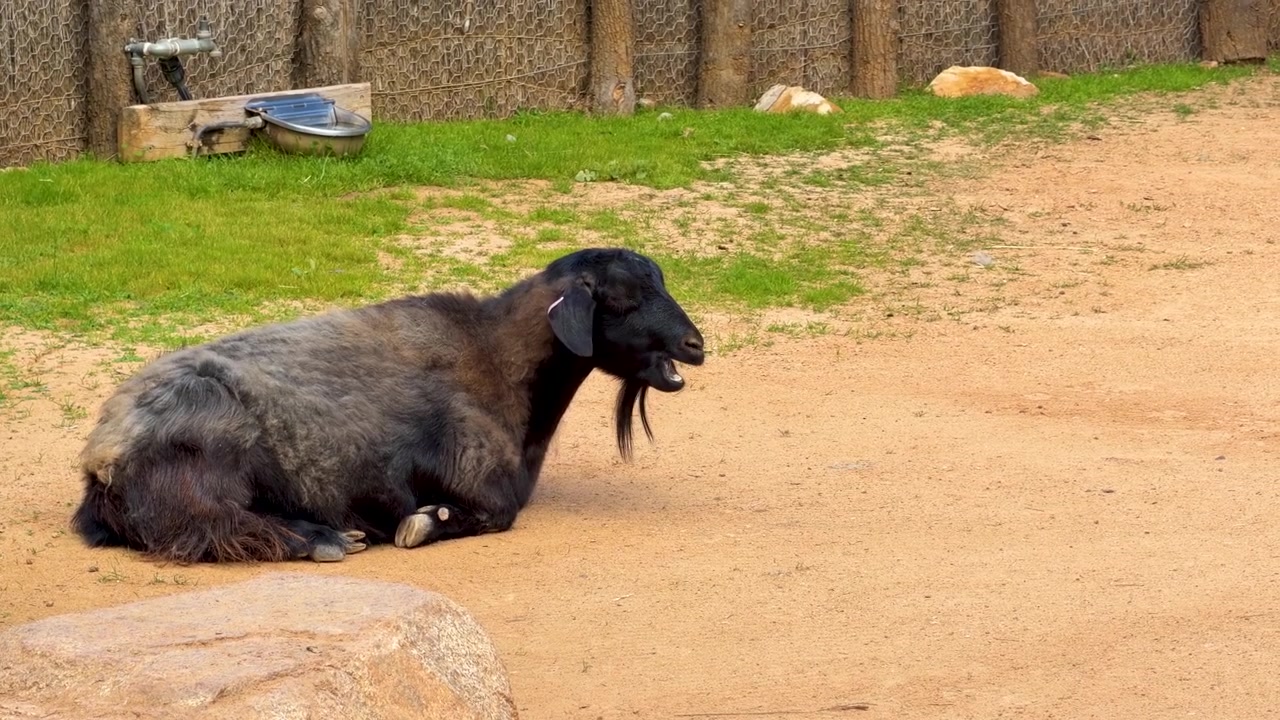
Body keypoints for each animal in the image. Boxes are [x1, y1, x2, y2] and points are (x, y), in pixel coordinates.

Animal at [71, 248, 705, 564]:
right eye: (624, 297)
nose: (695, 345)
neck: (493, 355)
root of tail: (103, 455)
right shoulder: (477, 480)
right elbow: (494, 513)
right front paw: (423, 523)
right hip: (210, 469)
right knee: (215, 527)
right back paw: (326, 539)